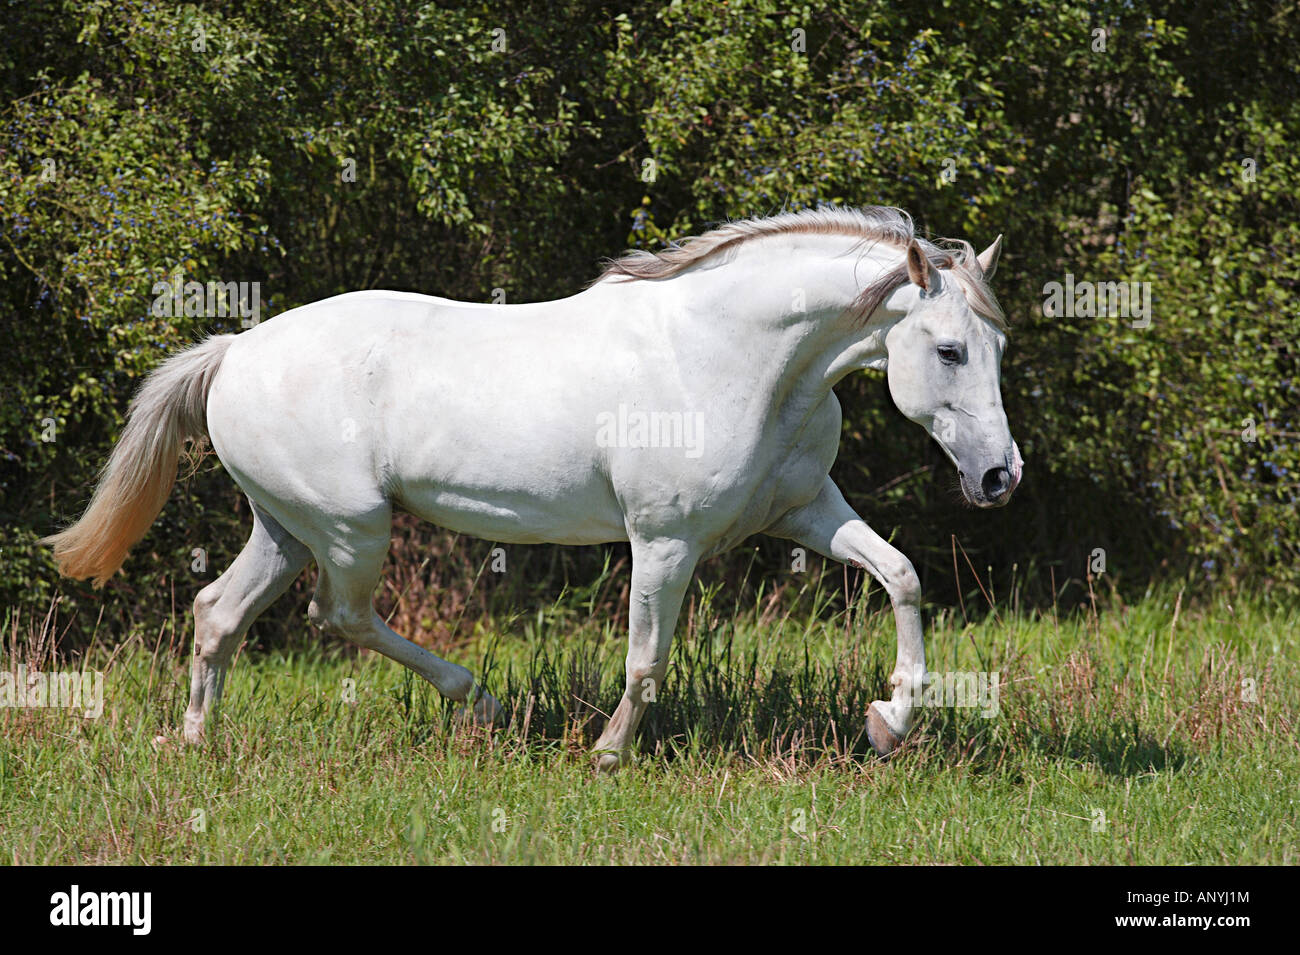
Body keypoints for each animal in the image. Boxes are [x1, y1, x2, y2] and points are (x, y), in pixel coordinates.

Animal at [43, 205, 1021, 770]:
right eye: (948, 350)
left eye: (997, 346)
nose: (998, 476)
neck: (729, 354)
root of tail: (234, 349)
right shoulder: (664, 540)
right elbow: (646, 658)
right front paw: (608, 755)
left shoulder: (805, 511)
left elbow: (902, 576)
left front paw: (889, 721)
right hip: (350, 527)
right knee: (338, 616)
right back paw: (479, 700)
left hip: (284, 527)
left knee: (219, 610)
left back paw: (194, 741)